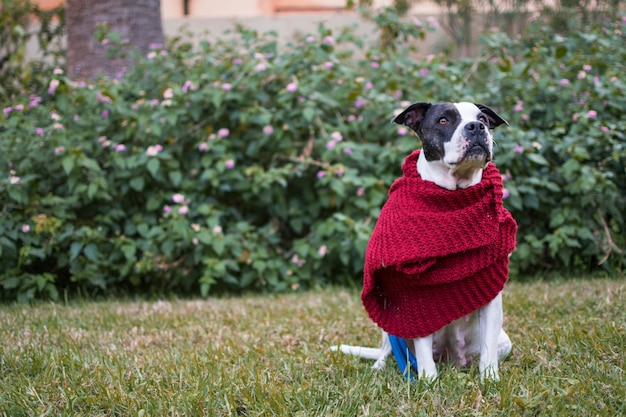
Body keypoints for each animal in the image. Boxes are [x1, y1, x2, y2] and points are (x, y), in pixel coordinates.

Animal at [330, 101, 516, 380]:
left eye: (482, 118)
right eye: (443, 120)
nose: (476, 127)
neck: (453, 193)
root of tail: (451, 359)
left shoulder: (490, 295)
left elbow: (488, 350)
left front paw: (490, 378)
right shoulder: (416, 302)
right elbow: (423, 350)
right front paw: (428, 382)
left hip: (505, 342)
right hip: (391, 326)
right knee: (387, 350)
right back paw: (379, 368)